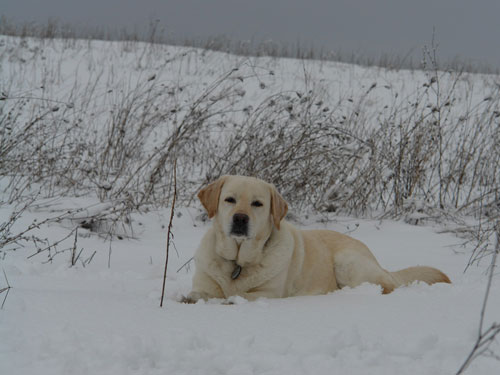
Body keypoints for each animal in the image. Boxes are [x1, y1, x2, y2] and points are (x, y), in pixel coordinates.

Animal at [184, 176, 450, 302]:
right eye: (229, 199)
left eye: (257, 204)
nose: (240, 218)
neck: (238, 263)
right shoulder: (204, 283)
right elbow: (199, 293)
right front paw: (190, 299)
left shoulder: (270, 293)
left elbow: (238, 296)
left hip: (347, 261)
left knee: (386, 286)